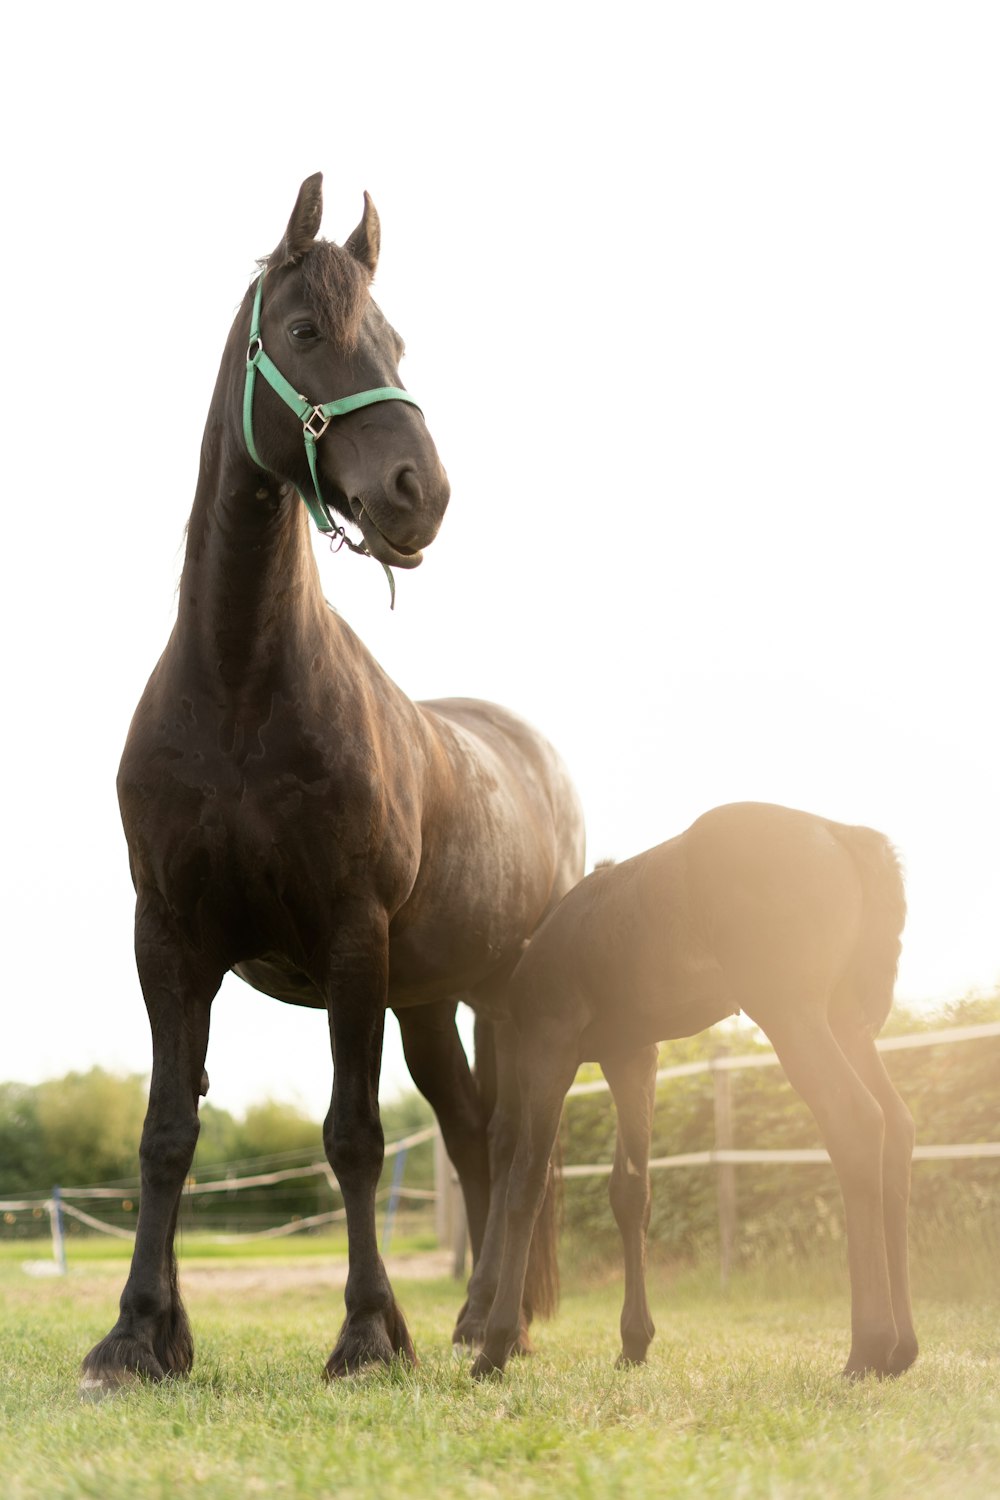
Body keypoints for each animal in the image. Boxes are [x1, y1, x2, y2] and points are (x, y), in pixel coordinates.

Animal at [80, 178, 587, 1392]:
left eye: (396, 340)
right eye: (307, 332)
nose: (420, 492)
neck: (237, 686)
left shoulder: (353, 938)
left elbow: (352, 1137)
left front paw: (364, 1336)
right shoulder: (169, 939)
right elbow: (167, 1133)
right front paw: (141, 1335)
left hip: (501, 992)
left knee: (517, 1142)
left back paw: (501, 1324)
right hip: (431, 1002)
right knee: (474, 1132)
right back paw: (475, 1320)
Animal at [473, 810, 917, 1380]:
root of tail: (842, 835)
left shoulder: (548, 1049)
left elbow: (525, 1185)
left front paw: (494, 1347)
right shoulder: (632, 1057)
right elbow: (630, 1191)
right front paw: (634, 1343)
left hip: (792, 1016)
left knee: (855, 1120)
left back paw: (867, 1349)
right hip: (846, 1022)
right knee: (897, 1128)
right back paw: (900, 1350)